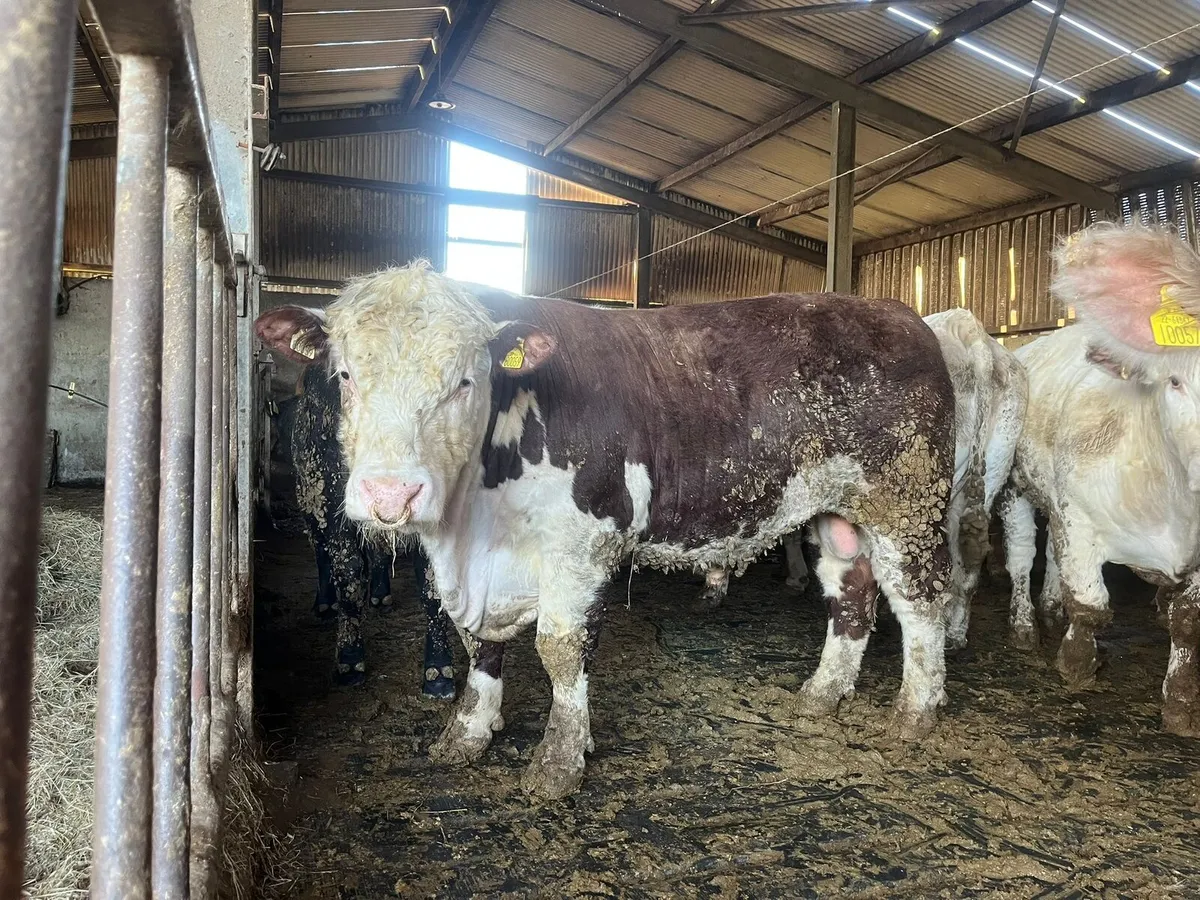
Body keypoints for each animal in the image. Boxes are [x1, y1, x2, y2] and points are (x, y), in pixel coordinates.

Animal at [285, 353, 456, 697]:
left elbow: (432, 586)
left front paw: (439, 672)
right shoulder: (332, 501)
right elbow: (348, 576)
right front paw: (350, 662)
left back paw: (379, 595)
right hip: (308, 497)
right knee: (321, 553)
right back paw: (325, 604)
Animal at [1000, 222, 1200, 737]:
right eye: (1176, 382)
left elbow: (1187, 621)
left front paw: (1182, 704)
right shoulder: (1080, 516)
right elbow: (1090, 604)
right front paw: (1076, 664)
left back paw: (1050, 610)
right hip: (1015, 487)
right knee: (1023, 556)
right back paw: (1026, 626)